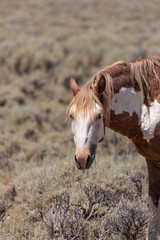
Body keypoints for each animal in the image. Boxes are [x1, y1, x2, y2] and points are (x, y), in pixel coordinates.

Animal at [66, 57, 160, 239]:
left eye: (98, 115)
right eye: (72, 116)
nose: (82, 158)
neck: (148, 106)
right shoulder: (152, 160)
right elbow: (154, 204)